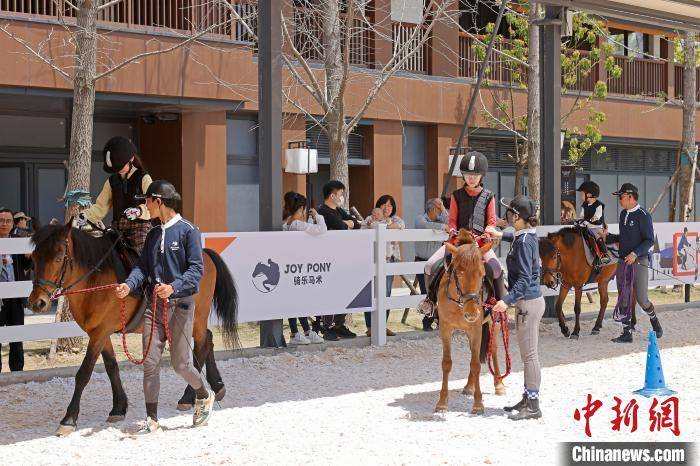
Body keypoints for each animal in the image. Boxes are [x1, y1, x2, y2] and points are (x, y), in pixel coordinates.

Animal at [27, 221, 239, 436]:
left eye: (58, 258)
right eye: (33, 258)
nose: (38, 302)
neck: (96, 280)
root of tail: (204, 253)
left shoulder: (99, 333)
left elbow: (84, 373)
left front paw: (69, 419)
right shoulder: (99, 333)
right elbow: (111, 367)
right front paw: (119, 407)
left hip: (197, 317)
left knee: (202, 346)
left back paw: (189, 397)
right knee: (208, 339)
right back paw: (218, 387)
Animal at [434, 230, 504, 414]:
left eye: (482, 274)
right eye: (458, 273)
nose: (472, 313)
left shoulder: (476, 329)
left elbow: (475, 364)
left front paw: (478, 404)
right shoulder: (445, 328)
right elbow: (447, 363)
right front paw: (442, 402)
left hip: (495, 323)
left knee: (493, 350)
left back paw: (499, 384)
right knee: (475, 352)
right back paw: (469, 386)